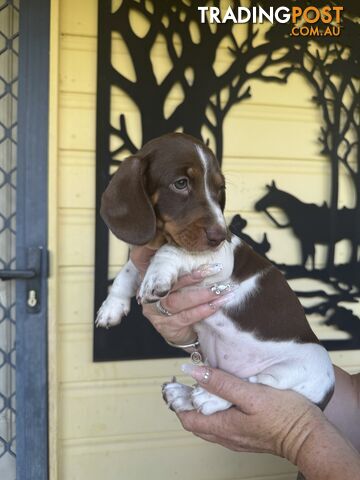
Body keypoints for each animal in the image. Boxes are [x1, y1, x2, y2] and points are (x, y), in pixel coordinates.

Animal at [96, 132, 334, 416]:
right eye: (181, 183)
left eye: (219, 189)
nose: (220, 235)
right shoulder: (144, 256)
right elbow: (128, 270)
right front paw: (112, 306)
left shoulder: (220, 258)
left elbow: (170, 251)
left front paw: (156, 276)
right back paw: (183, 394)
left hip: (305, 366)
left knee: (251, 384)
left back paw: (208, 396)